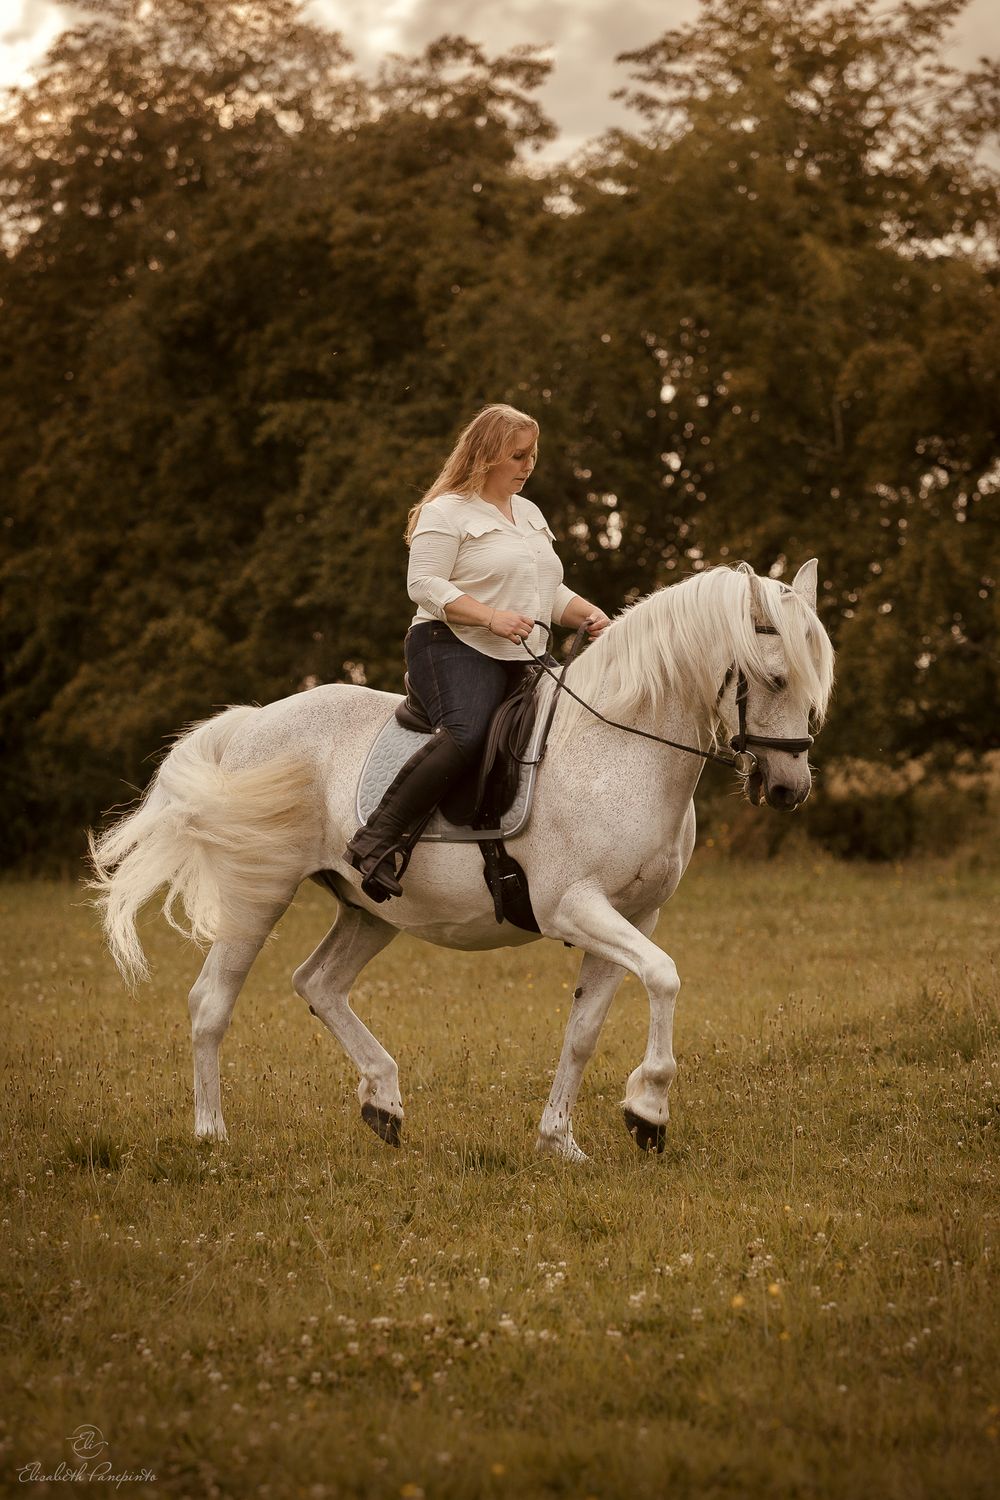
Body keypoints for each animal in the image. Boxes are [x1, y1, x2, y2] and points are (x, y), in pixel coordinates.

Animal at [89, 560, 834, 1161]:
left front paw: (561, 1141)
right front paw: (648, 1111)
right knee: (212, 1002)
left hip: (369, 907)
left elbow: (587, 1028)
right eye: (774, 678)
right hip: (259, 893)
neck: (619, 747)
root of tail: (254, 721)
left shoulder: (635, 915)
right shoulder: (575, 906)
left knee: (318, 983)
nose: (790, 790)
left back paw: (383, 1102)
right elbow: (665, 977)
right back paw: (212, 1135)